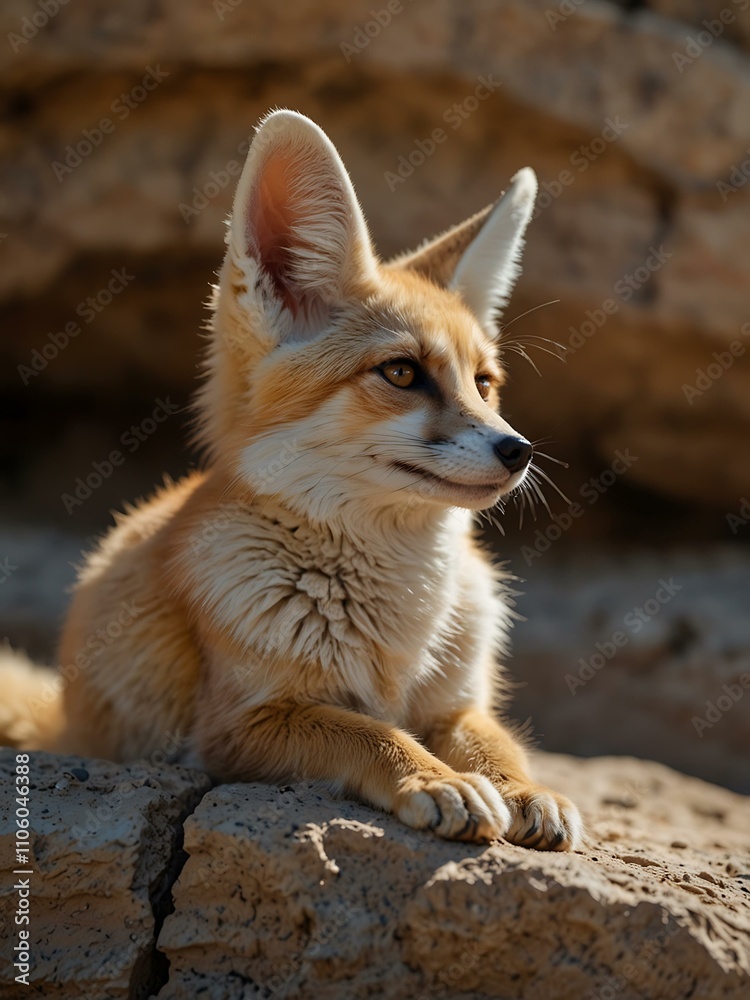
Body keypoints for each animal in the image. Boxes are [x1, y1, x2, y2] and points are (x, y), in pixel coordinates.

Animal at [2, 110, 582, 850]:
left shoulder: (457, 704)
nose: (520, 450)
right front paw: (433, 779)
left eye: (484, 383)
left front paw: (526, 789)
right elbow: (370, 732)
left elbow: (498, 742)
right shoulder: (234, 729)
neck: (397, 624)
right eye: (401, 373)